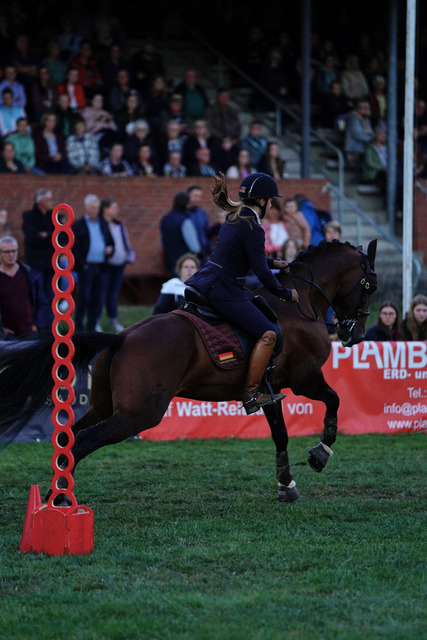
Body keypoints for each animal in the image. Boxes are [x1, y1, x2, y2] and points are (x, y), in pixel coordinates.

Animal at [0, 239, 377, 504]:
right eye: (370, 285)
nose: (355, 335)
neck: (300, 304)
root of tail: (122, 336)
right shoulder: (305, 378)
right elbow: (334, 400)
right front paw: (321, 453)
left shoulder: (270, 390)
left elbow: (280, 435)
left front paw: (286, 485)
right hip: (139, 415)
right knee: (83, 441)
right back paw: (61, 499)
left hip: (105, 407)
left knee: (69, 437)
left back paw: (54, 494)